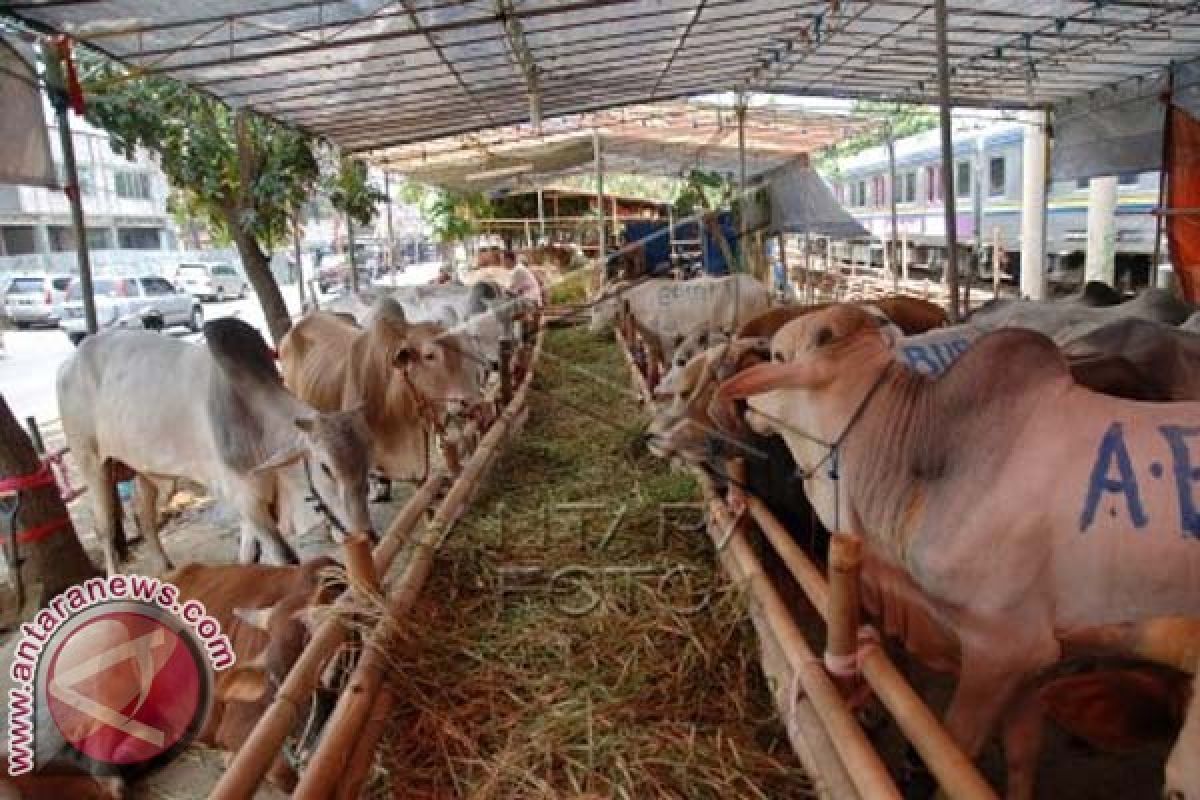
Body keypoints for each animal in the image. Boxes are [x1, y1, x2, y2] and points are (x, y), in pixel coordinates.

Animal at [715, 303, 1200, 796]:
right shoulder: (1038, 659)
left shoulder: (1002, 647)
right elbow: (1022, 751)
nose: (743, 402)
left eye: (778, 354)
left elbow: (954, 756)